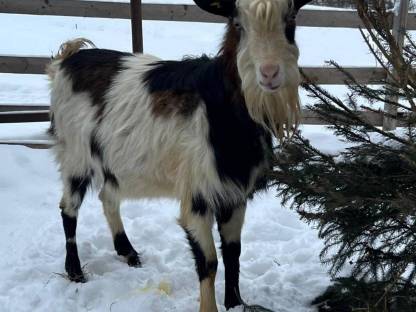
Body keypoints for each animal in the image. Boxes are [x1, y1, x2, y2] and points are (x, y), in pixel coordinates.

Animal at [47, 0, 310, 310]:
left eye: (290, 20)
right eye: (237, 24)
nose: (269, 72)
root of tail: (67, 59)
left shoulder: (234, 194)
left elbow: (233, 253)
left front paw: (235, 302)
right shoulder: (197, 193)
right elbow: (209, 261)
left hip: (110, 161)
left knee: (107, 197)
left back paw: (128, 252)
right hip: (75, 154)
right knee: (68, 208)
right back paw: (75, 272)